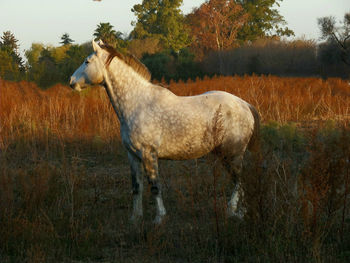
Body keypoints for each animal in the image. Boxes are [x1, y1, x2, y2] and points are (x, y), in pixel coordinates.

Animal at [69, 40, 260, 225]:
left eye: (87, 61)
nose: (71, 81)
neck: (137, 104)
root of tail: (245, 105)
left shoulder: (148, 154)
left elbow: (155, 186)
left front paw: (159, 218)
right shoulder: (133, 156)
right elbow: (136, 187)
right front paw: (135, 218)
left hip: (232, 154)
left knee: (238, 180)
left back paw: (232, 211)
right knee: (239, 181)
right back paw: (240, 212)